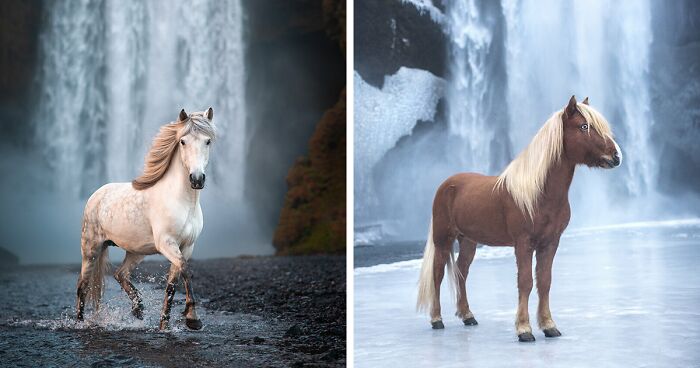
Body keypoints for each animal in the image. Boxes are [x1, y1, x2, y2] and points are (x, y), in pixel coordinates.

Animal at [75, 108, 215, 330]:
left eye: (208, 141)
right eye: (183, 141)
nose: (197, 179)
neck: (184, 201)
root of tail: (96, 195)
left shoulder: (186, 246)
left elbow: (172, 285)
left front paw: (164, 326)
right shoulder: (167, 244)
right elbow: (185, 269)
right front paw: (193, 319)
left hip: (136, 251)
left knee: (120, 274)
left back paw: (138, 309)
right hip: (91, 249)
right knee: (83, 286)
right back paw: (79, 323)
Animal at [418, 95, 620, 342]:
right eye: (584, 126)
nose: (616, 157)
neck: (539, 193)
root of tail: (447, 184)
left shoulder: (550, 243)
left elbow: (544, 282)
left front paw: (549, 326)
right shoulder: (523, 243)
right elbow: (525, 282)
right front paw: (524, 329)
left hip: (468, 241)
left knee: (461, 272)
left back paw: (468, 316)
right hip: (443, 239)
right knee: (437, 275)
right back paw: (436, 319)